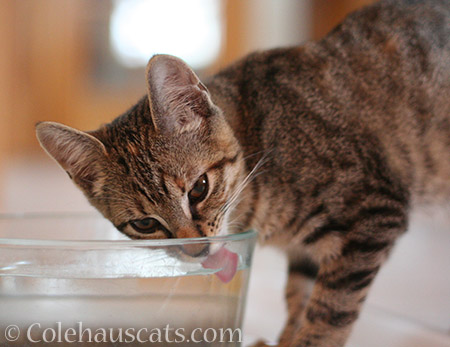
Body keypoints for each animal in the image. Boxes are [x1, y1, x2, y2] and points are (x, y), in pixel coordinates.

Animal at [36, 1, 450, 346]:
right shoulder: (309, 252)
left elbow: (329, 311)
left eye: (199, 189)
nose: (196, 249)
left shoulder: (372, 214)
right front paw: (285, 340)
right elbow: (299, 298)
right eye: (144, 224)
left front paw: (307, 340)